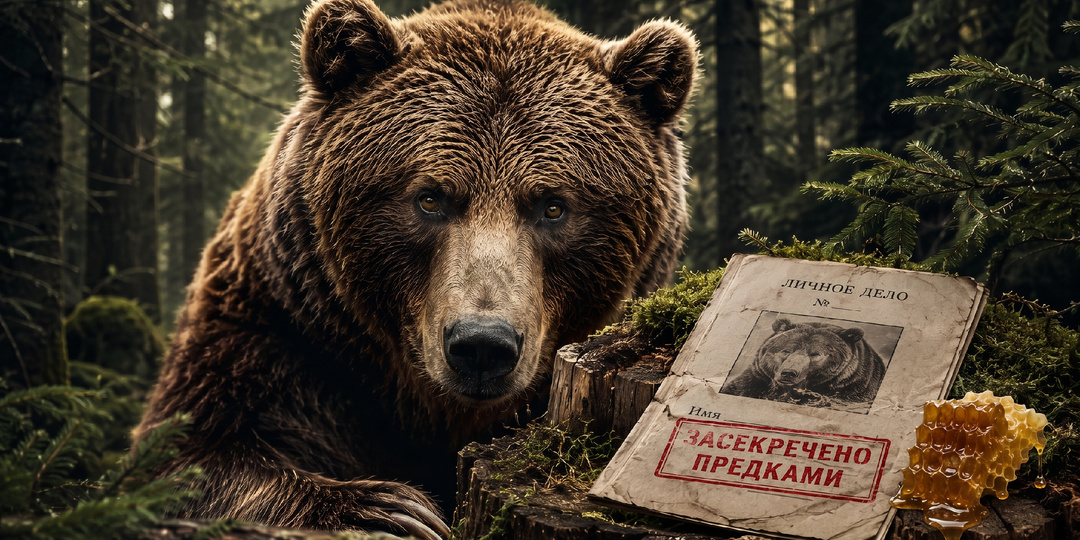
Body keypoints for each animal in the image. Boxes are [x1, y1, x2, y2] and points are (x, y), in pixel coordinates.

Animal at [132, 0, 697, 537]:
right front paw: (390, 508)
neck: (423, 402)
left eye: (553, 206)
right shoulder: (282, 327)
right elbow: (191, 457)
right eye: (430, 198)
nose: (482, 345)